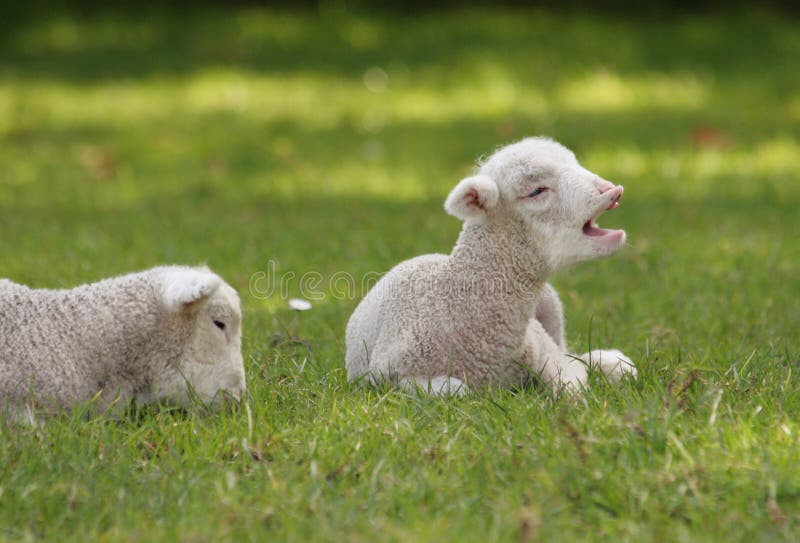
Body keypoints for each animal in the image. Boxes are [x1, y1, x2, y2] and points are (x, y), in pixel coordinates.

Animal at [345, 137, 637, 395]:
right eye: (536, 191)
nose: (611, 190)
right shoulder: (384, 376)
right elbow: (457, 390)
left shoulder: (539, 342)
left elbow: (569, 375)